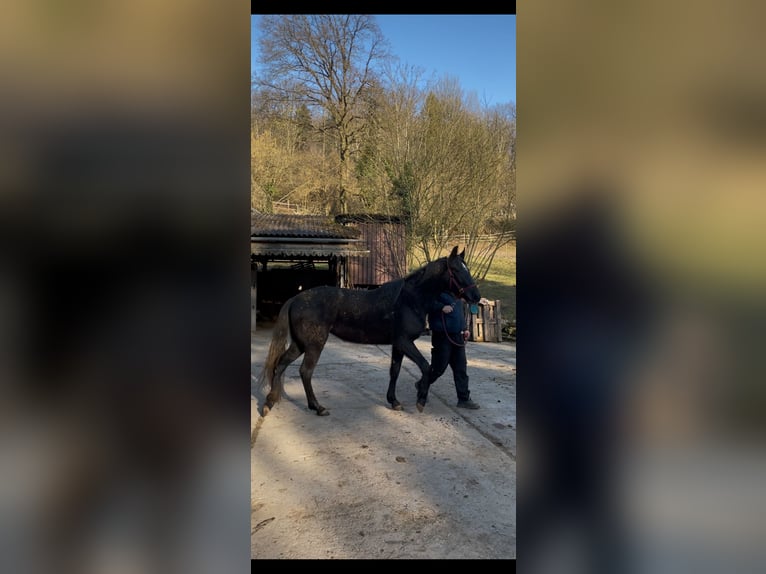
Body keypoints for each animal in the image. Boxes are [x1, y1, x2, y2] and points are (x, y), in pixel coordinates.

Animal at [260, 245, 484, 416]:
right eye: (456, 270)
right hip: (314, 344)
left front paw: (394, 401)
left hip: (300, 344)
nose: (476, 296)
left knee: (281, 364)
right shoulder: (404, 342)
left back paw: (269, 402)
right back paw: (318, 407)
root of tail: (295, 299)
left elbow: (395, 371)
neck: (411, 299)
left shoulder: (398, 345)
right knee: (305, 371)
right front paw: (420, 400)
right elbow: (426, 367)